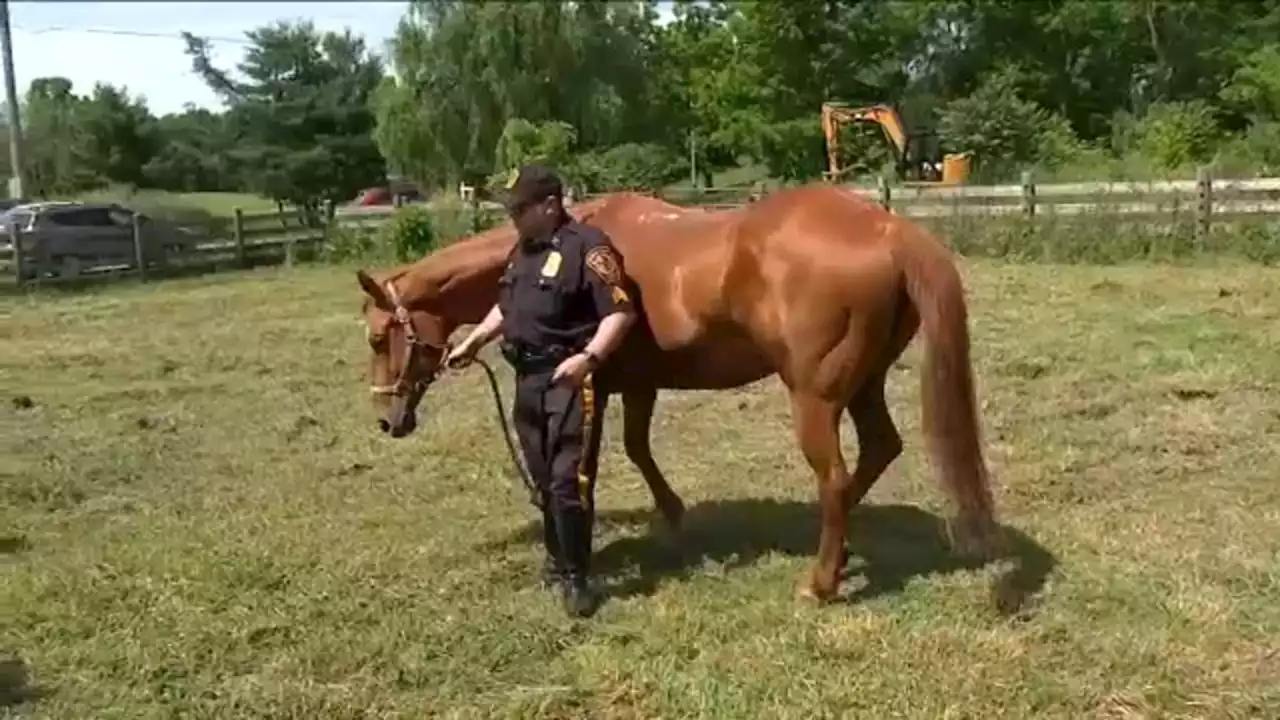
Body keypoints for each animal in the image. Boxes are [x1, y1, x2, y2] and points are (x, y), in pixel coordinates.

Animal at [355, 181, 1003, 597]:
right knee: (878, 451)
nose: (388, 420)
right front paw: (671, 517)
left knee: (837, 478)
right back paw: (838, 555)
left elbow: (590, 467)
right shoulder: (640, 384)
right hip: (864, 384)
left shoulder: (595, 384)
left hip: (815, 400)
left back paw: (820, 583)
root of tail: (888, 228)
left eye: (378, 336)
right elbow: (639, 449)